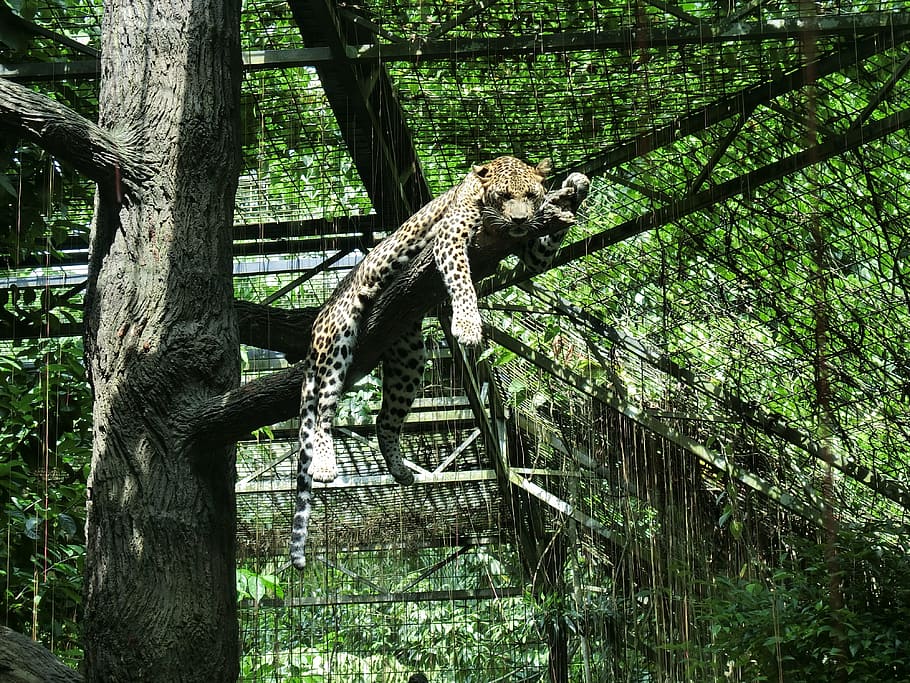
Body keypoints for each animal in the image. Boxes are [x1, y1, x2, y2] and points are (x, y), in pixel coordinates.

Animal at [290, 156, 571, 569]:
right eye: (504, 196)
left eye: (532, 196)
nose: (519, 219)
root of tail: (317, 322)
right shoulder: (451, 236)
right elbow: (462, 282)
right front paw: (467, 325)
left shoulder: (530, 250)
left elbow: (542, 249)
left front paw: (575, 187)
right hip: (339, 337)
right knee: (323, 410)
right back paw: (325, 464)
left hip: (408, 355)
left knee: (384, 418)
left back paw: (400, 469)